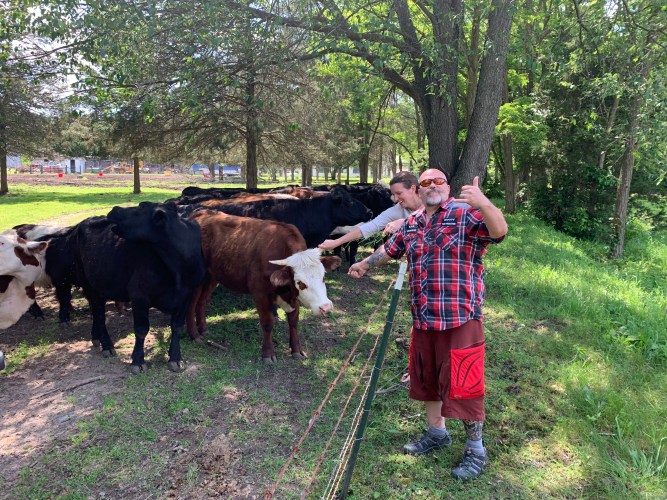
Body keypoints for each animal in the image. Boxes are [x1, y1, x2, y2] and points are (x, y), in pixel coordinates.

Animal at [67, 202, 206, 373]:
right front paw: (138, 361)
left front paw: (176, 358)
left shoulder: (187, 295)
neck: (177, 268)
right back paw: (107, 345)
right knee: (99, 313)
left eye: (140, 207)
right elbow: (141, 329)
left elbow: (177, 326)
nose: (115, 208)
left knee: (96, 310)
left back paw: (96, 337)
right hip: (87, 282)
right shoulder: (139, 295)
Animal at [187, 210, 341, 362]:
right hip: (196, 280)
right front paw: (268, 354)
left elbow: (293, 321)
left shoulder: (293, 296)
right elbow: (267, 323)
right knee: (191, 305)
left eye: (323, 277)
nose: (326, 307)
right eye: (300, 283)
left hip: (212, 277)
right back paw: (194, 335)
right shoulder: (260, 293)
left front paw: (296, 350)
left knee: (201, 302)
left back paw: (203, 329)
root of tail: (201, 213)